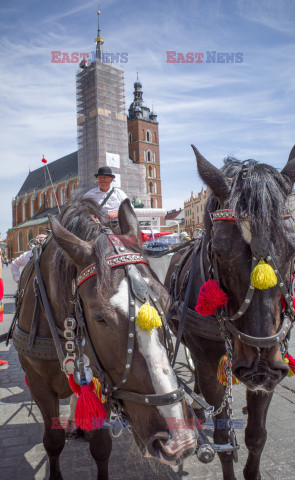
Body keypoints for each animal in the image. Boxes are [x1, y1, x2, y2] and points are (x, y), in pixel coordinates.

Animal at [15, 196, 198, 480]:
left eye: (167, 301)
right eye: (100, 317)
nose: (180, 440)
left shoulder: (104, 384)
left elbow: (101, 447)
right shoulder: (38, 385)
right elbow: (53, 442)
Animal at [165, 145, 295, 480]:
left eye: (292, 247)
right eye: (219, 251)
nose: (259, 366)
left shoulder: (271, 366)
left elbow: (256, 436)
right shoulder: (210, 360)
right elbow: (223, 438)